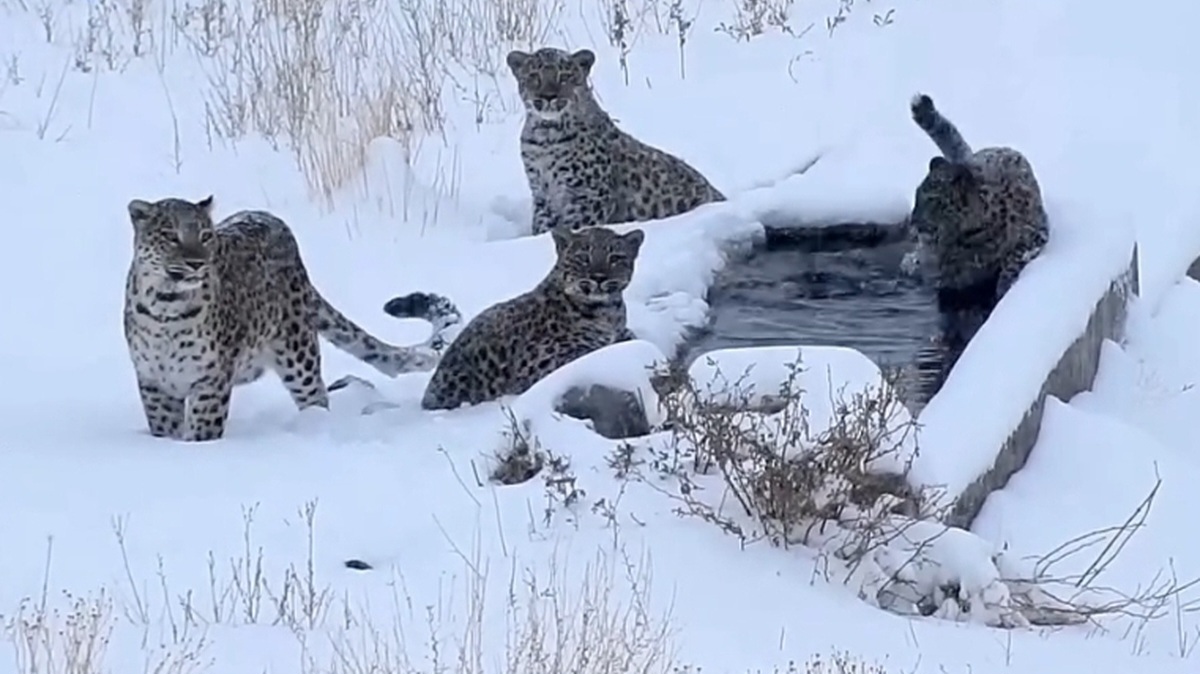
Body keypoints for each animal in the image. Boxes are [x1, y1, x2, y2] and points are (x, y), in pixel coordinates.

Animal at [121, 194, 458, 441]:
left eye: (205, 235)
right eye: (170, 236)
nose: (196, 263)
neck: (166, 309)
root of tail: (273, 221)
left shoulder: (211, 381)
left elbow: (203, 429)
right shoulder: (153, 382)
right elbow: (164, 427)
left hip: (299, 356)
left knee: (316, 394)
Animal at [384, 224, 648, 410]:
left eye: (616, 258)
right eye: (583, 257)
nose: (599, 277)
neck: (607, 311)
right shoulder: (540, 363)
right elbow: (591, 351)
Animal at [506, 45, 720, 235]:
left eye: (565, 77)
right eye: (534, 76)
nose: (548, 96)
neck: (545, 136)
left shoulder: (590, 197)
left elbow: (573, 227)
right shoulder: (542, 195)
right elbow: (542, 226)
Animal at [902, 91, 1046, 307]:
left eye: (932, 199)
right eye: (916, 194)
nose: (914, 221)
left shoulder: (1035, 235)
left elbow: (1016, 256)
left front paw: (1004, 285)